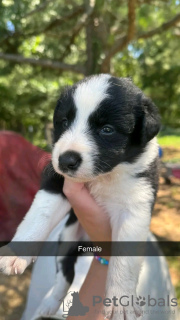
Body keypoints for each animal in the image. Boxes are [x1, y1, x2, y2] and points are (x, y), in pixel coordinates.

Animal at [0, 75, 160, 320]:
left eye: (107, 129)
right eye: (64, 122)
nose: (66, 160)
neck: (104, 176)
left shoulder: (136, 203)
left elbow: (124, 259)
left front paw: (121, 300)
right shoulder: (56, 182)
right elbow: (38, 218)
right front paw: (17, 253)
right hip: (66, 238)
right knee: (65, 273)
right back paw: (49, 304)